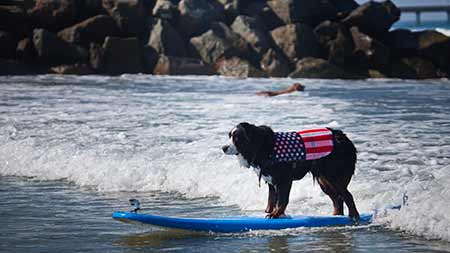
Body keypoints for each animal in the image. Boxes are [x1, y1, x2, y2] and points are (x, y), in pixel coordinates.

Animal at [221, 122, 358, 219]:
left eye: (237, 138)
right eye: (230, 136)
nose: (223, 147)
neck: (262, 146)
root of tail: (343, 138)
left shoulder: (284, 179)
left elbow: (282, 200)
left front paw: (276, 214)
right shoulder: (272, 181)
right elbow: (272, 200)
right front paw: (274, 212)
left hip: (333, 176)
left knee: (347, 196)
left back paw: (354, 216)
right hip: (324, 181)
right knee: (337, 199)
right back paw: (336, 216)